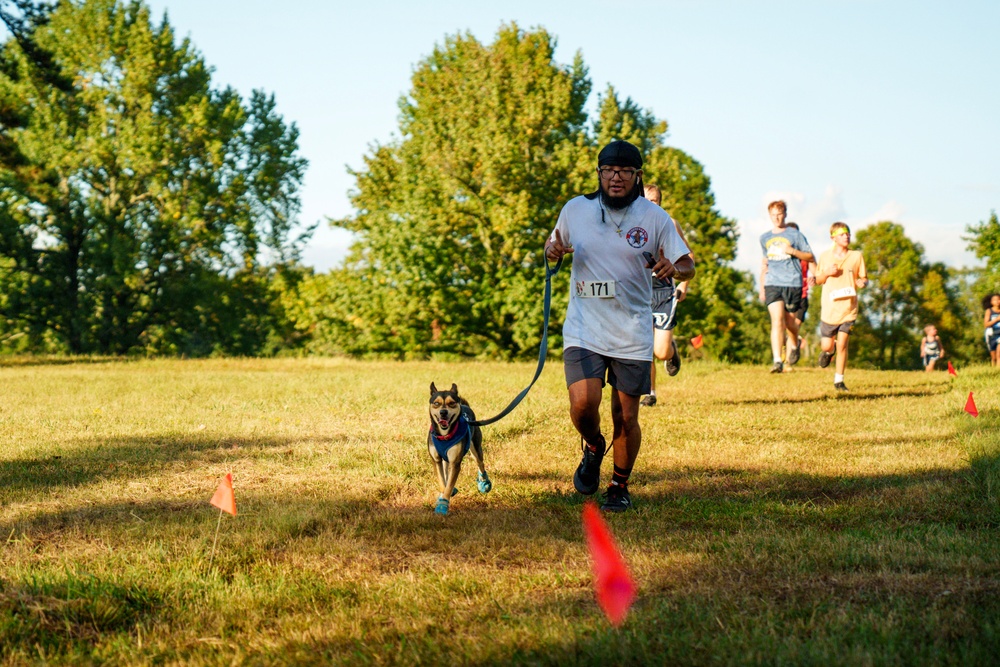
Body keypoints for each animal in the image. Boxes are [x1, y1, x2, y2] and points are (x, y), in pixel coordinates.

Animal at [428, 380, 494, 516]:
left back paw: (484, 483)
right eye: (436, 403)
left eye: (452, 403)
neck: (445, 435)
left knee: (480, 463)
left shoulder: (455, 462)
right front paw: (444, 494)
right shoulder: (436, 460)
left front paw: (443, 504)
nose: (443, 412)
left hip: (476, 448)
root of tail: (465, 406)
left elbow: (449, 484)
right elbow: (443, 482)